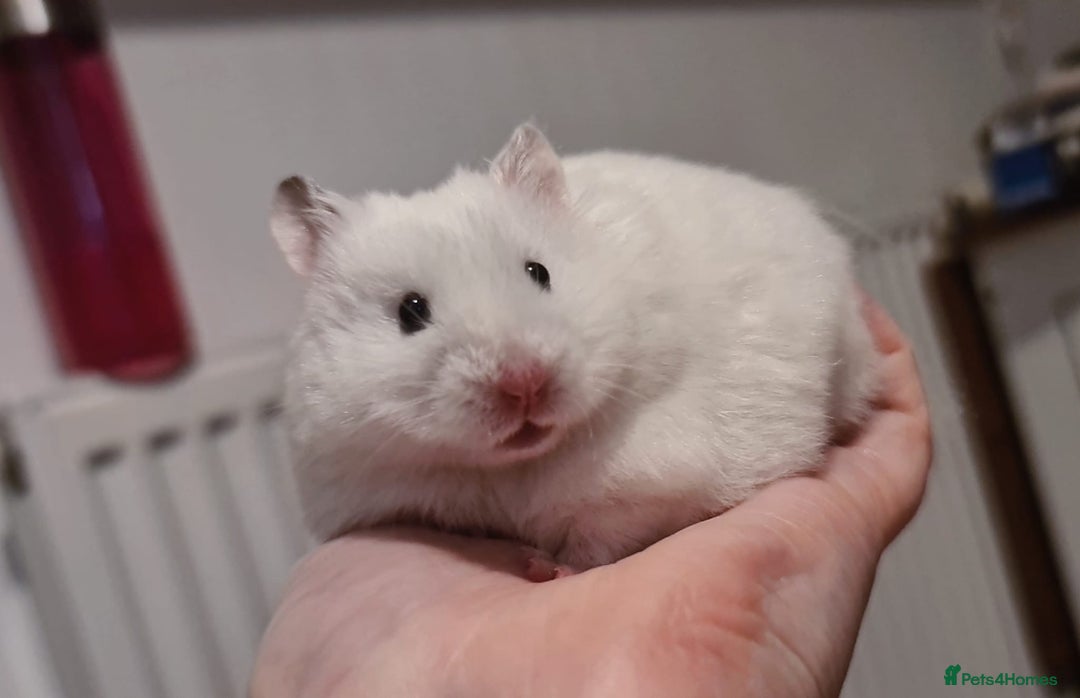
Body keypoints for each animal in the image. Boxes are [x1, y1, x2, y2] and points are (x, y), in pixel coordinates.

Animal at [270, 123, 878, 570]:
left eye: (539, 271)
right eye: (409, 312)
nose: (525, 385)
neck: (516, 469)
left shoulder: (656, 478)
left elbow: (603, 534)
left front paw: (554, 567)